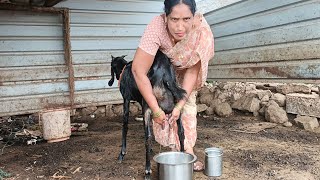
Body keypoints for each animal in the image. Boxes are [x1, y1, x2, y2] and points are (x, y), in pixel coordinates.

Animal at [109, 50, 186, 179]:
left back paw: (147, 170)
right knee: (181, 132)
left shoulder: (126, 98)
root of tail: (165, 75)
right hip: (176, 110)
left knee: (148, 138)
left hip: (148, 107)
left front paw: (122, 154)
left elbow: (125, 124)